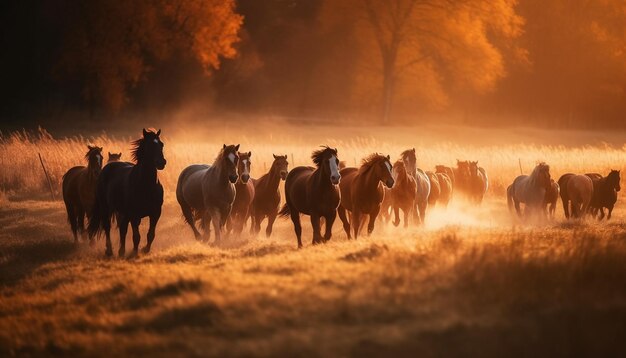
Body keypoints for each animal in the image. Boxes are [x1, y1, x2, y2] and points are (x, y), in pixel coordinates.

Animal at [88, 129, 166, 258]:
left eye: (161, 144)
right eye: (149, 145)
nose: (161, 162)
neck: (146, 185)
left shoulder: (155, 213)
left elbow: (150, 234)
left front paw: (145, 249)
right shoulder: (134, 215)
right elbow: (136, 236)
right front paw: (134, 253)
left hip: (122, 212)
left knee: (122, 229)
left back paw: (121, 251)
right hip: (106, 208)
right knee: (107, 227)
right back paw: (110, 251)